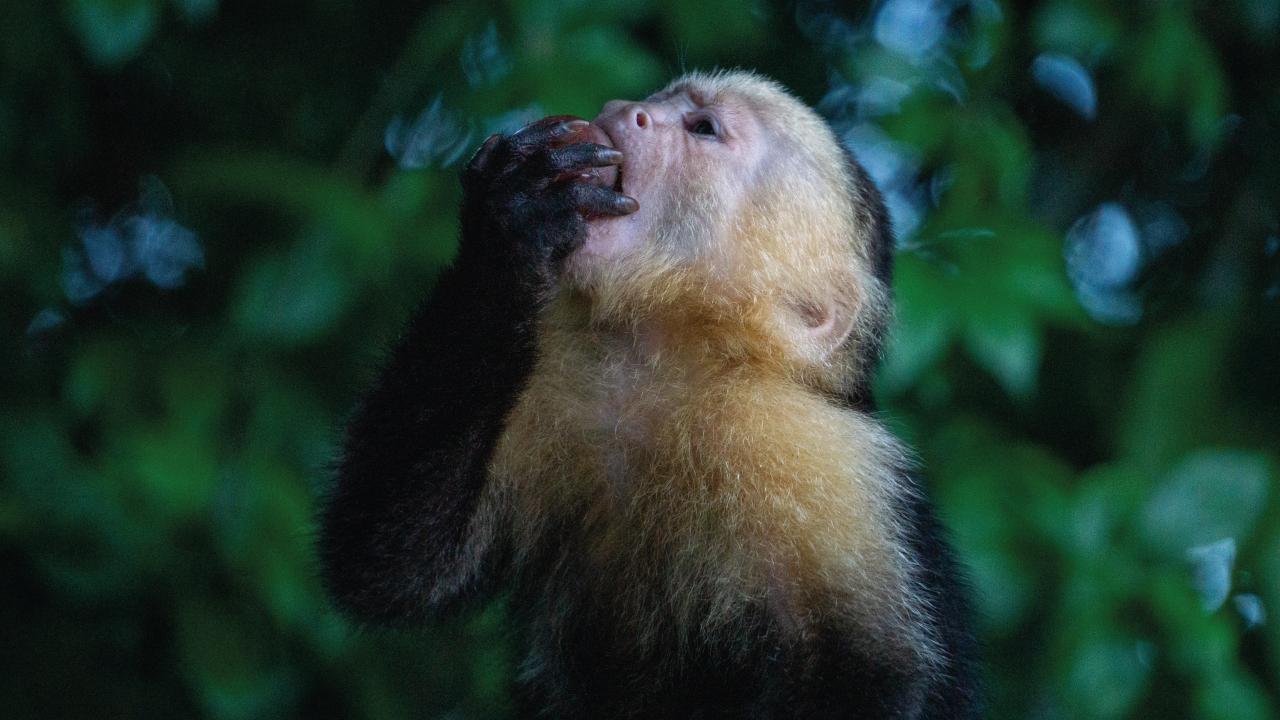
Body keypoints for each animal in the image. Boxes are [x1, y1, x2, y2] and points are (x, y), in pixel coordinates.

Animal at [319, 70, 980, 719]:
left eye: (703, 128)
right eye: (660, 98)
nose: (624, 108)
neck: (664, 372)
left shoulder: (819, 452)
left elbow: (872, 679)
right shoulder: (555, 379)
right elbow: (396, 567)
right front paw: (511, 221)